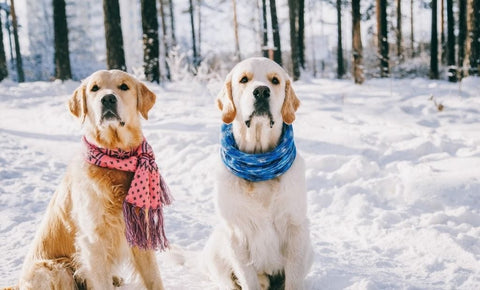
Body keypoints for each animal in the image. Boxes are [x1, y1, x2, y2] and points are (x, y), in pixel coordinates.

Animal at [18, 70, 167, 290]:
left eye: (124, 86)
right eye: (94, 88)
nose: (108, 99)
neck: (115, 156)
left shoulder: (140, 231)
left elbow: (154, 278)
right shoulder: (93, 241)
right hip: (56, 269)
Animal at [203, 57, 314, 288]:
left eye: (275, 80)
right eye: (244, 79)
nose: (262, 91)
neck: (259, 161)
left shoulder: (296, 228)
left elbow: (293, 281)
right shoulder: (236, 233)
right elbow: (248, 279)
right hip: (215, 254)